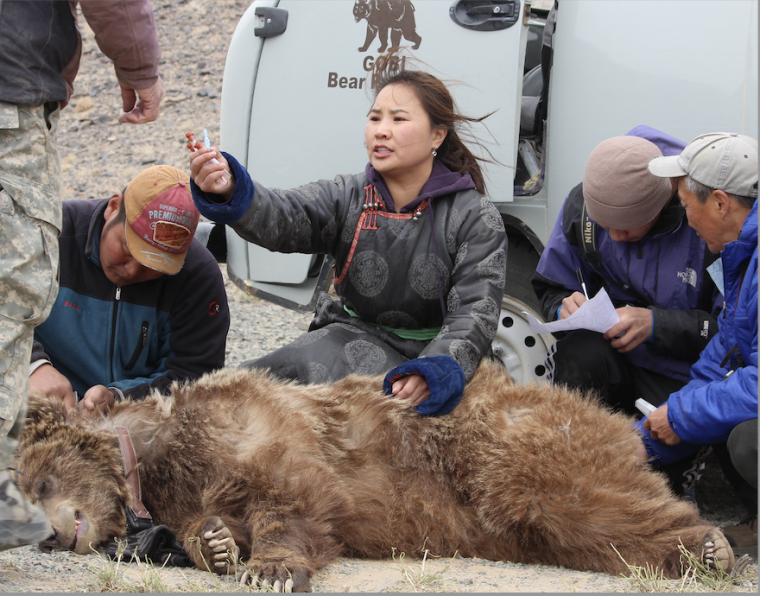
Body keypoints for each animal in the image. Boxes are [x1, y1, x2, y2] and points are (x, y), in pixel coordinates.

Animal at [14, 358, 732, 592]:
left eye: (38, 482)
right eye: (23, 492)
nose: (51, 536)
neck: (156, 460)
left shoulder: (260, 431)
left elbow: (294, 496)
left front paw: (270, 567)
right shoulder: (190, 485)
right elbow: (209, 521)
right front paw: (215, 543)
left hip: (513, 452)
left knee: (588, 500)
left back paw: (710, 547)